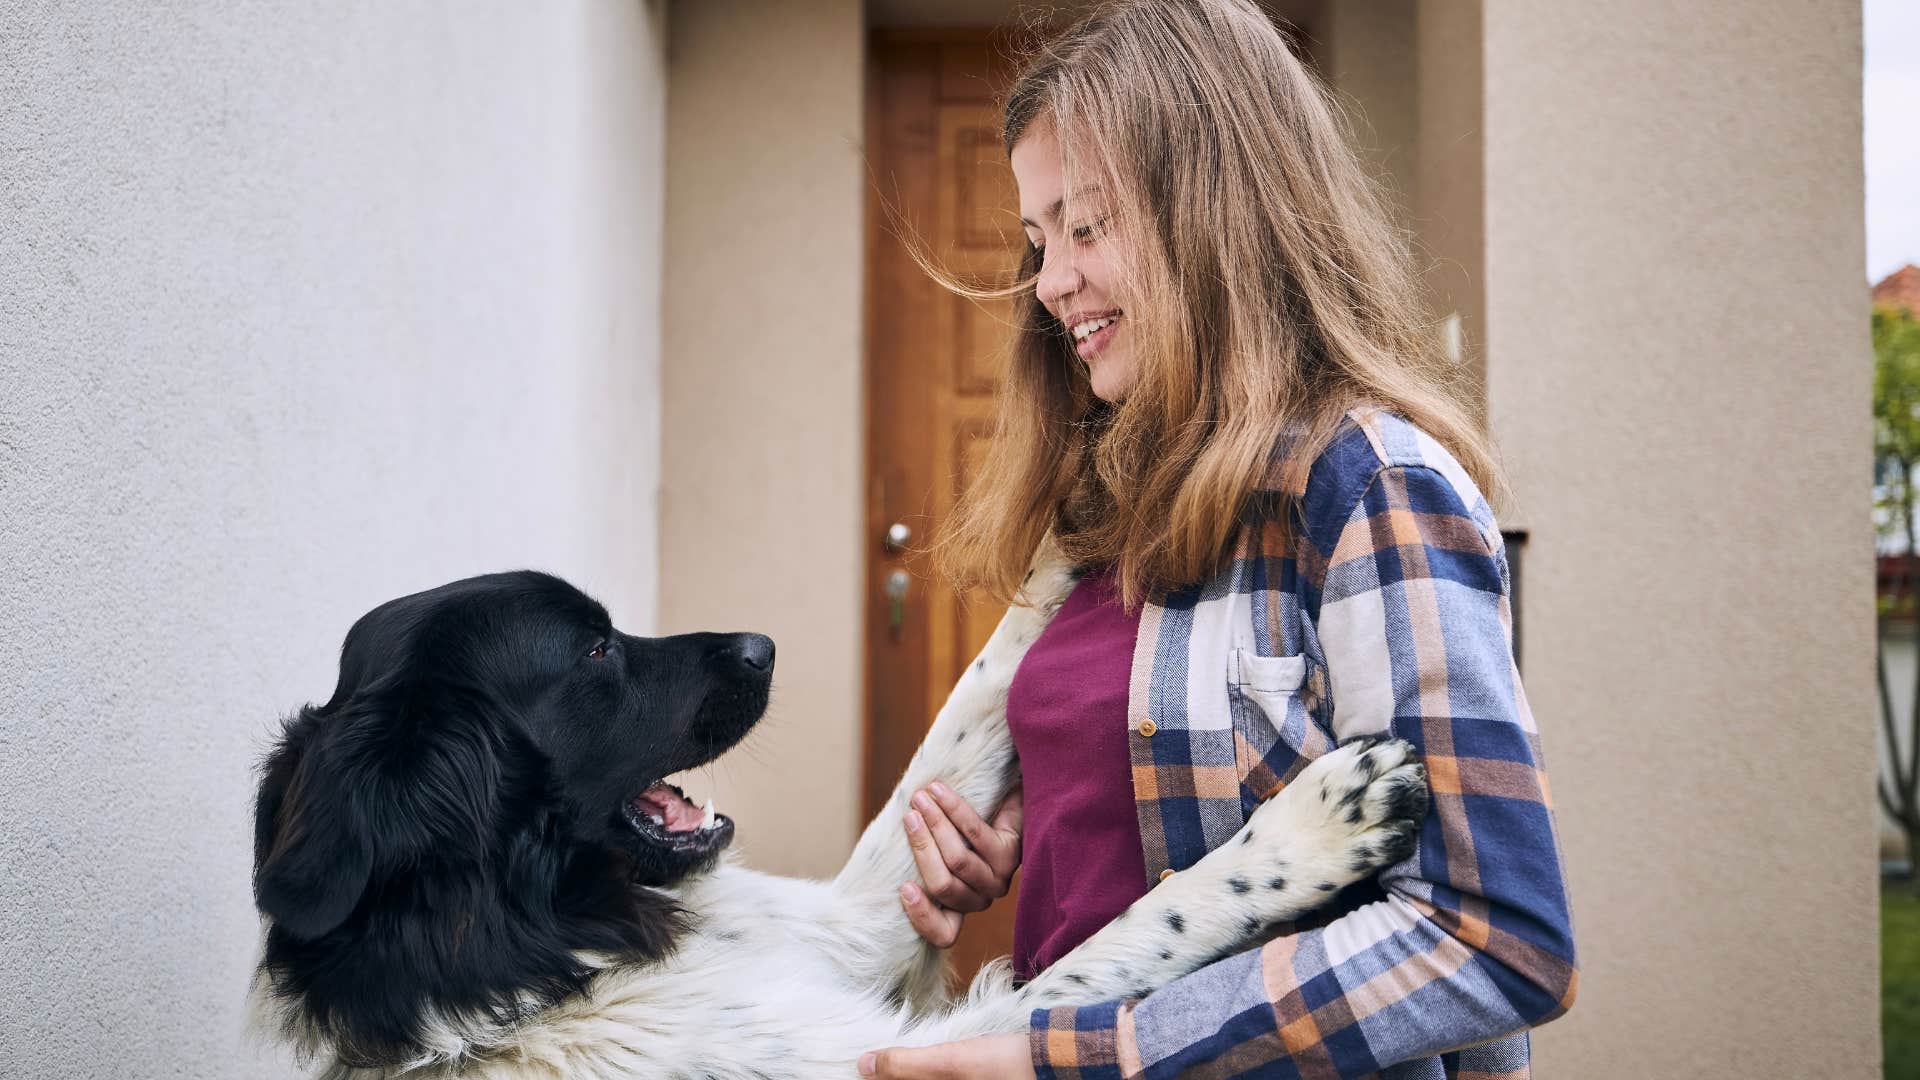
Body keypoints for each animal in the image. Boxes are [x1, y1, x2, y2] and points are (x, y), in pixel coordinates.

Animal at [251, 541, 1428, 1068]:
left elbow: (967, 711)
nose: (764, 646)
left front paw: (1071, 527)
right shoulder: (902, 1051)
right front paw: (1315, 826)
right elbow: (1138, 932)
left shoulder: (844, 930)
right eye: (592, 652)